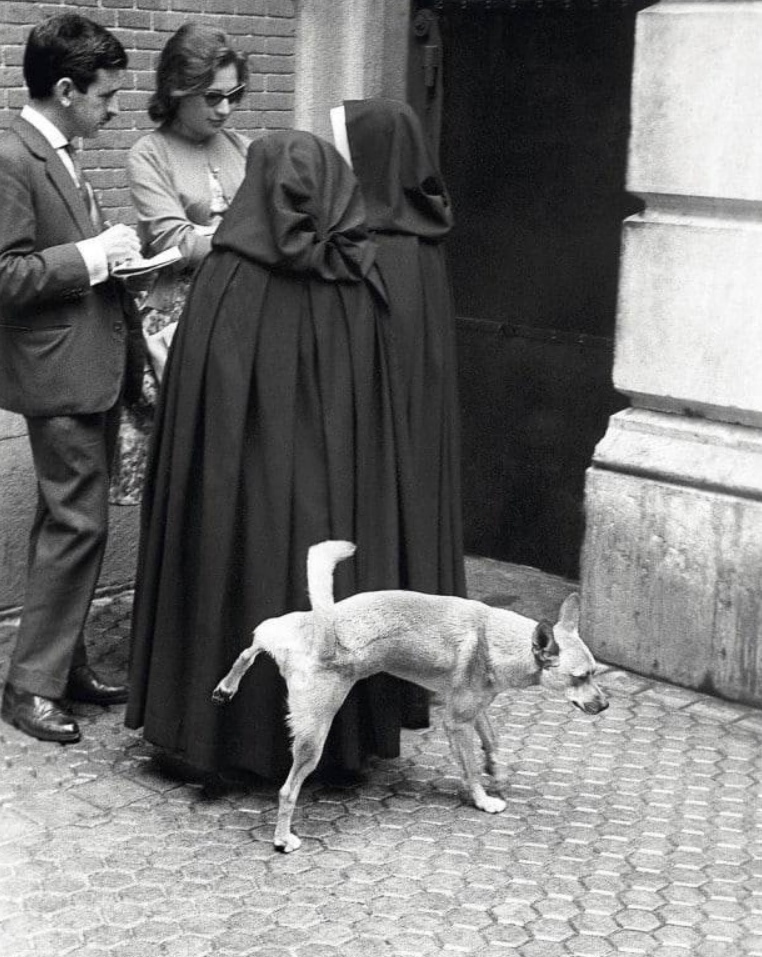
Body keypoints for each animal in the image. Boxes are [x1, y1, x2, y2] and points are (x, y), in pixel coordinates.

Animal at [212, 536, 604, 852]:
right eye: (580, 677)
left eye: (595, 673)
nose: (605, 703)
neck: (494, 638)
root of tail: (327, 632)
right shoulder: (456, 722)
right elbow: (470, 768)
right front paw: (482, 798)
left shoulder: (473, 709)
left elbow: (491, 742)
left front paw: (496, 771)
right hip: (314, 736)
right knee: (287, 789)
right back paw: (282, 838)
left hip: (280, 631)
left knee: (252, 644)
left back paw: (227, 686)